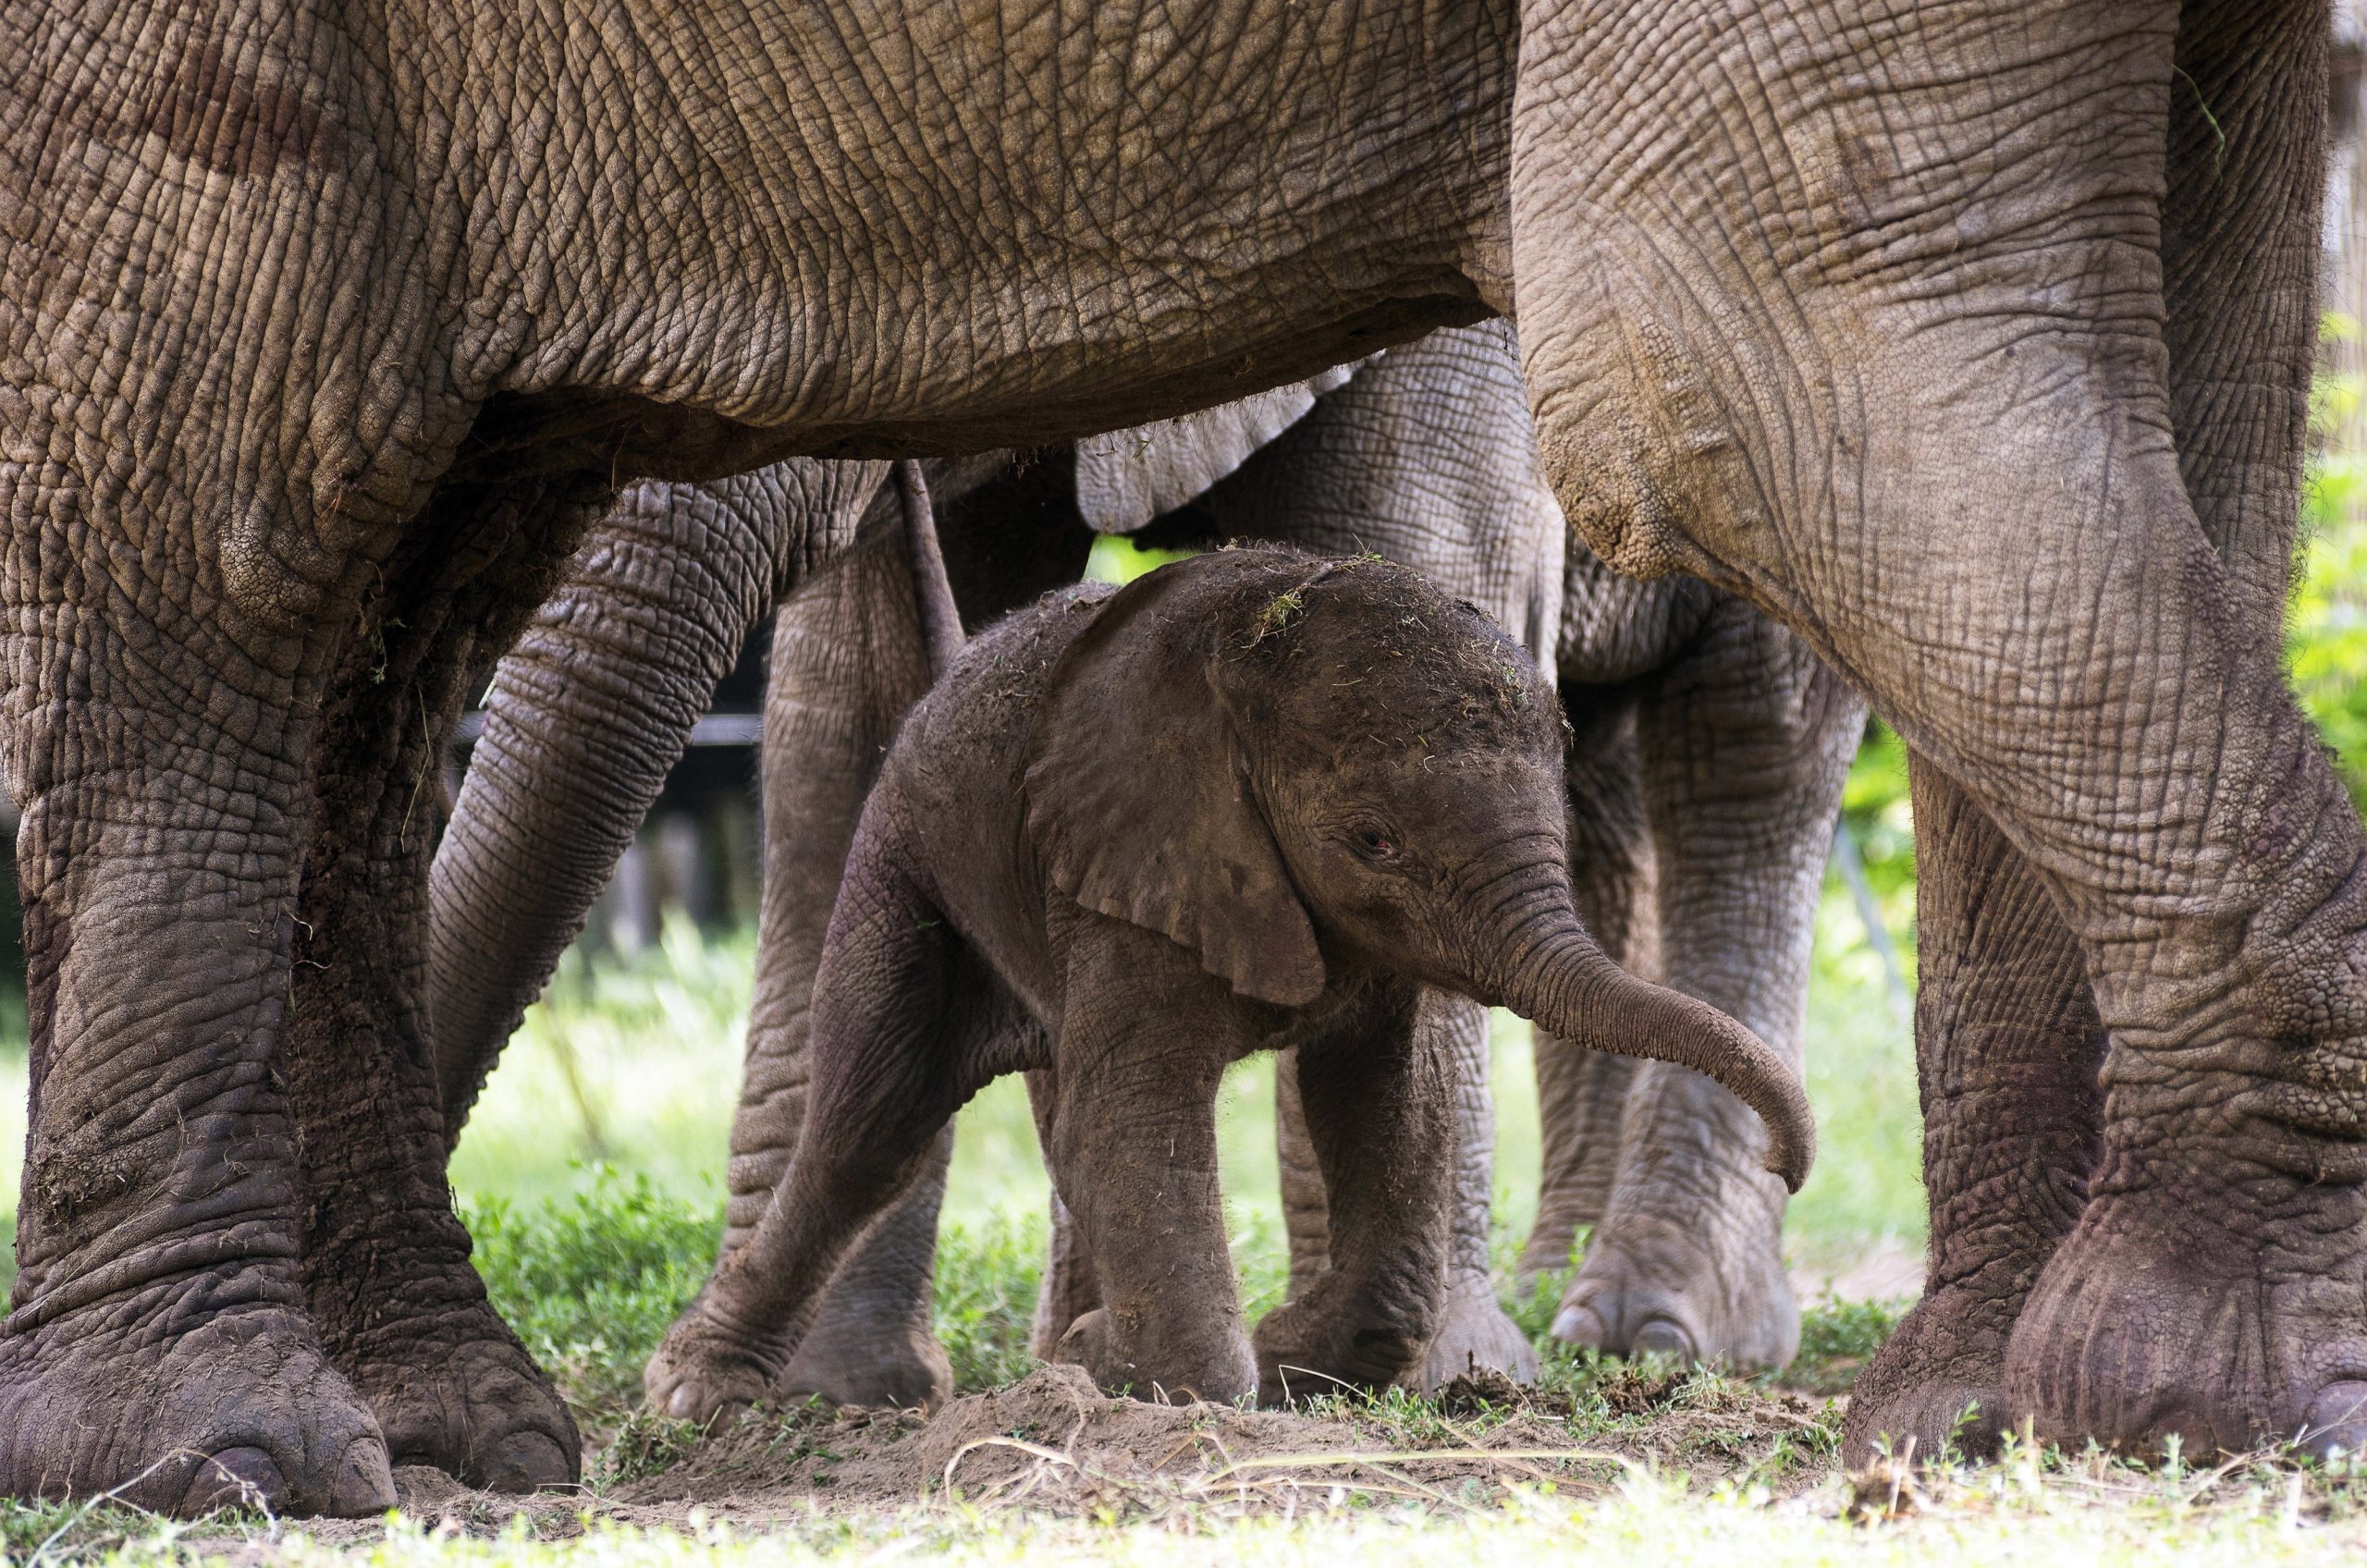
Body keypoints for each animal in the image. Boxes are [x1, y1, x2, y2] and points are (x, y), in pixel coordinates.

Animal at [636, 547, 1814, 1420]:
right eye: (1373, 840)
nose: (1788, 1162)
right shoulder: (1138, 860)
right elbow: (1137, 1115)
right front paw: (1163, 1372)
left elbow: (1387, 1107)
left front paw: (1278, 1356)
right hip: (905, 855)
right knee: (875, 1116)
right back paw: (697, 1395)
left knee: (1030, 1109)